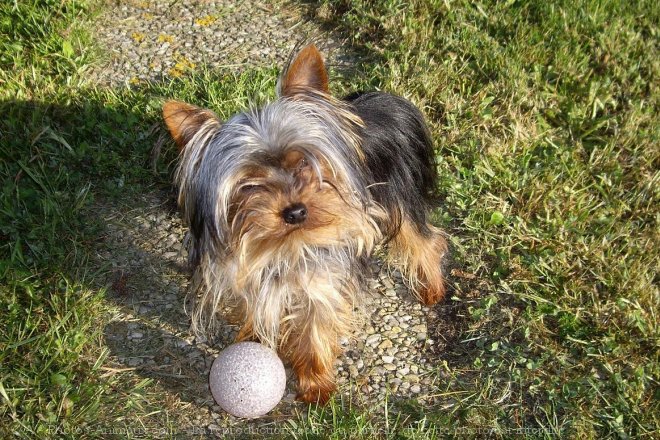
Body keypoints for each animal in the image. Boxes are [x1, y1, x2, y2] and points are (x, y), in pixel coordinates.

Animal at [163, 43, 448, 402]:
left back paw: (432, 288)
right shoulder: (247, 271)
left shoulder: (321, 279)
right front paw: (254, 340)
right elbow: (255, 307)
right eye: (249, 184)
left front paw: (315, 386)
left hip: (401, 199)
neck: (286, 245)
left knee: (424, 238)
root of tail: (381, 106)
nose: (295, 212)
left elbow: (315, 327)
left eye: (304, 163)